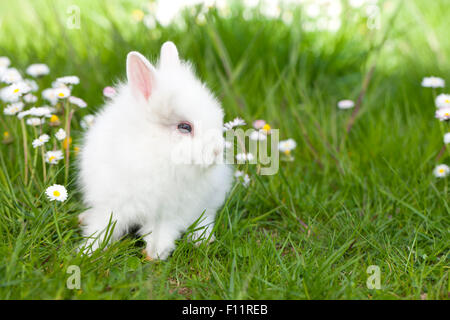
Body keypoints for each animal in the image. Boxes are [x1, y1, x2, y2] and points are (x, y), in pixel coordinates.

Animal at [77, 41, 232, 260]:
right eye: (185, 127)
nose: (217, 151)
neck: (158, 152)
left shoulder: (169, 211)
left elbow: (162, 232)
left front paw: (155, 254)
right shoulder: (113, 203)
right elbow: (102, 227)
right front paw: (86, 252)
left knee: (206, 217)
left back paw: (202, 239)